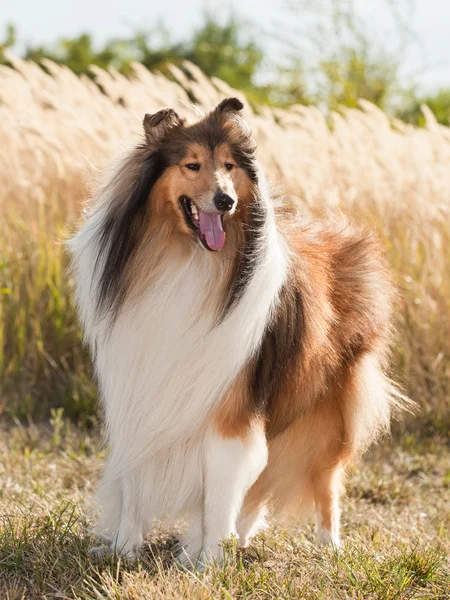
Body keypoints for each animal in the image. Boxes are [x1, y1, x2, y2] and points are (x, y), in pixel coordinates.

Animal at [68, 98, 400, 568]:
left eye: (228, 165)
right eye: (191, 164)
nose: (224, 201)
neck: (184, 260)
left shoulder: (230, 405)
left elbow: (220, 492)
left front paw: (209, 561)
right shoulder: (139, 390)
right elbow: (136, 483)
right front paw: (123, 550)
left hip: (325, 413)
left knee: (324, 482)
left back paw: (327, 546)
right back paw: (237, 540)